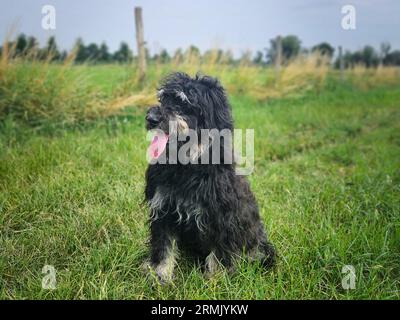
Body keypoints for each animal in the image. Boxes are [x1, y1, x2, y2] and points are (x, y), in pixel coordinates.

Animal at [144, 72, 276, 282]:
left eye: (183, 102)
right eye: (162, 99)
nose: (150, 118)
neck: (187, 166)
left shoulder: (222, 217)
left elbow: (219, 255)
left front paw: (215, 280)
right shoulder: (163, 209)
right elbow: (163, 247)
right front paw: (160, 274)